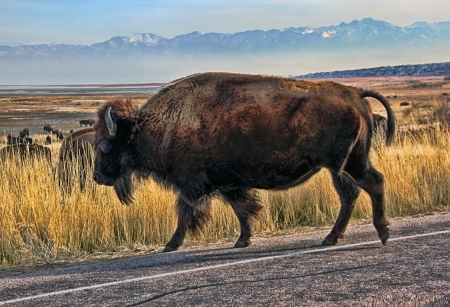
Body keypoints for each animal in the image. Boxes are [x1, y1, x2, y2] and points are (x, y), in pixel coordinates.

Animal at [93, 72, 396, 253]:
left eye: (105, 144)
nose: (97, 176)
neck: (163, 124)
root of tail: (355, 93)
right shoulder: (228, 184)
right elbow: (242, 209)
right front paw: (243, 240)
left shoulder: (192, 185)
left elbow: (186, 213)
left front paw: (171, 245)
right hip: (340, 166)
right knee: (350, 194)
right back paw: (331, 237)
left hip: (348, 164)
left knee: (374, 183)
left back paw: (382, 233)